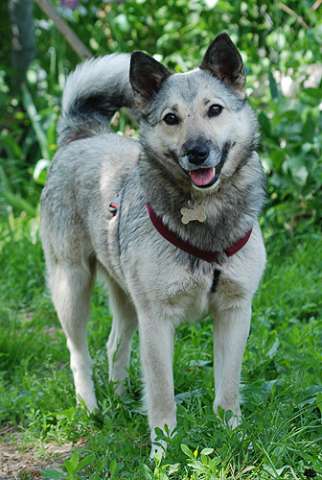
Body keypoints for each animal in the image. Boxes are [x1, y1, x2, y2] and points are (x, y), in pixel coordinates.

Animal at [40, 32, 266, 458]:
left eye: (215, 109)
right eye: (170, 118)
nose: (196, 153)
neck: (204, 216)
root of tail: (82, 137)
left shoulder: (234, 312)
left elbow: (227, 388)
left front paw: (233, 435)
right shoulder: (157, 321)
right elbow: (162, 394)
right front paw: (162, 452)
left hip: (125, 296)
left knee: (114, 344)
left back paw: (120, 398)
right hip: (71, 286)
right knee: (79, 354)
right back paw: (91, 408)